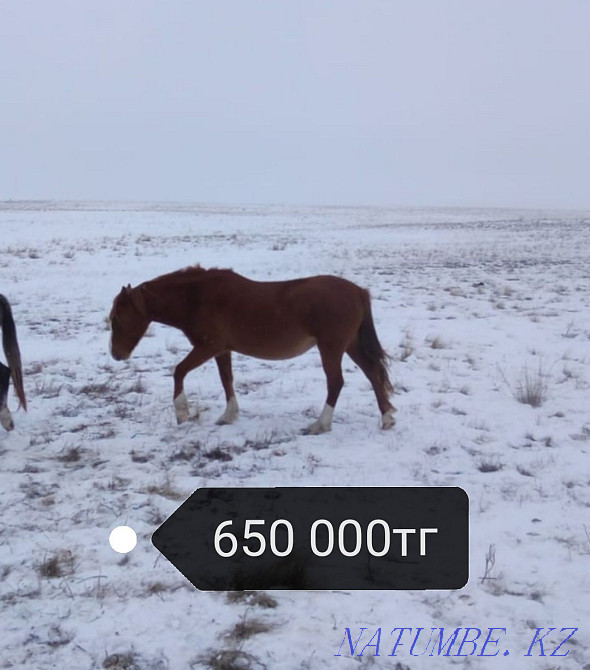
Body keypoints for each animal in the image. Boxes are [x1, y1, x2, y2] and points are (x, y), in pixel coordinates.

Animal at [109, 266, 396, 434]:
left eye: (117, 319)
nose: (116, 354)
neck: (198, 297)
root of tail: (358, 291)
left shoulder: (208, 346)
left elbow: (179, 371)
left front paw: (182, 413)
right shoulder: (221, 350)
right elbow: (227, 380)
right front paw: (229, 416)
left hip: (331, 347)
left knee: (336, 382)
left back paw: (320, 424)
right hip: (350, 345)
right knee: (373, 374)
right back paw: (387, 418)